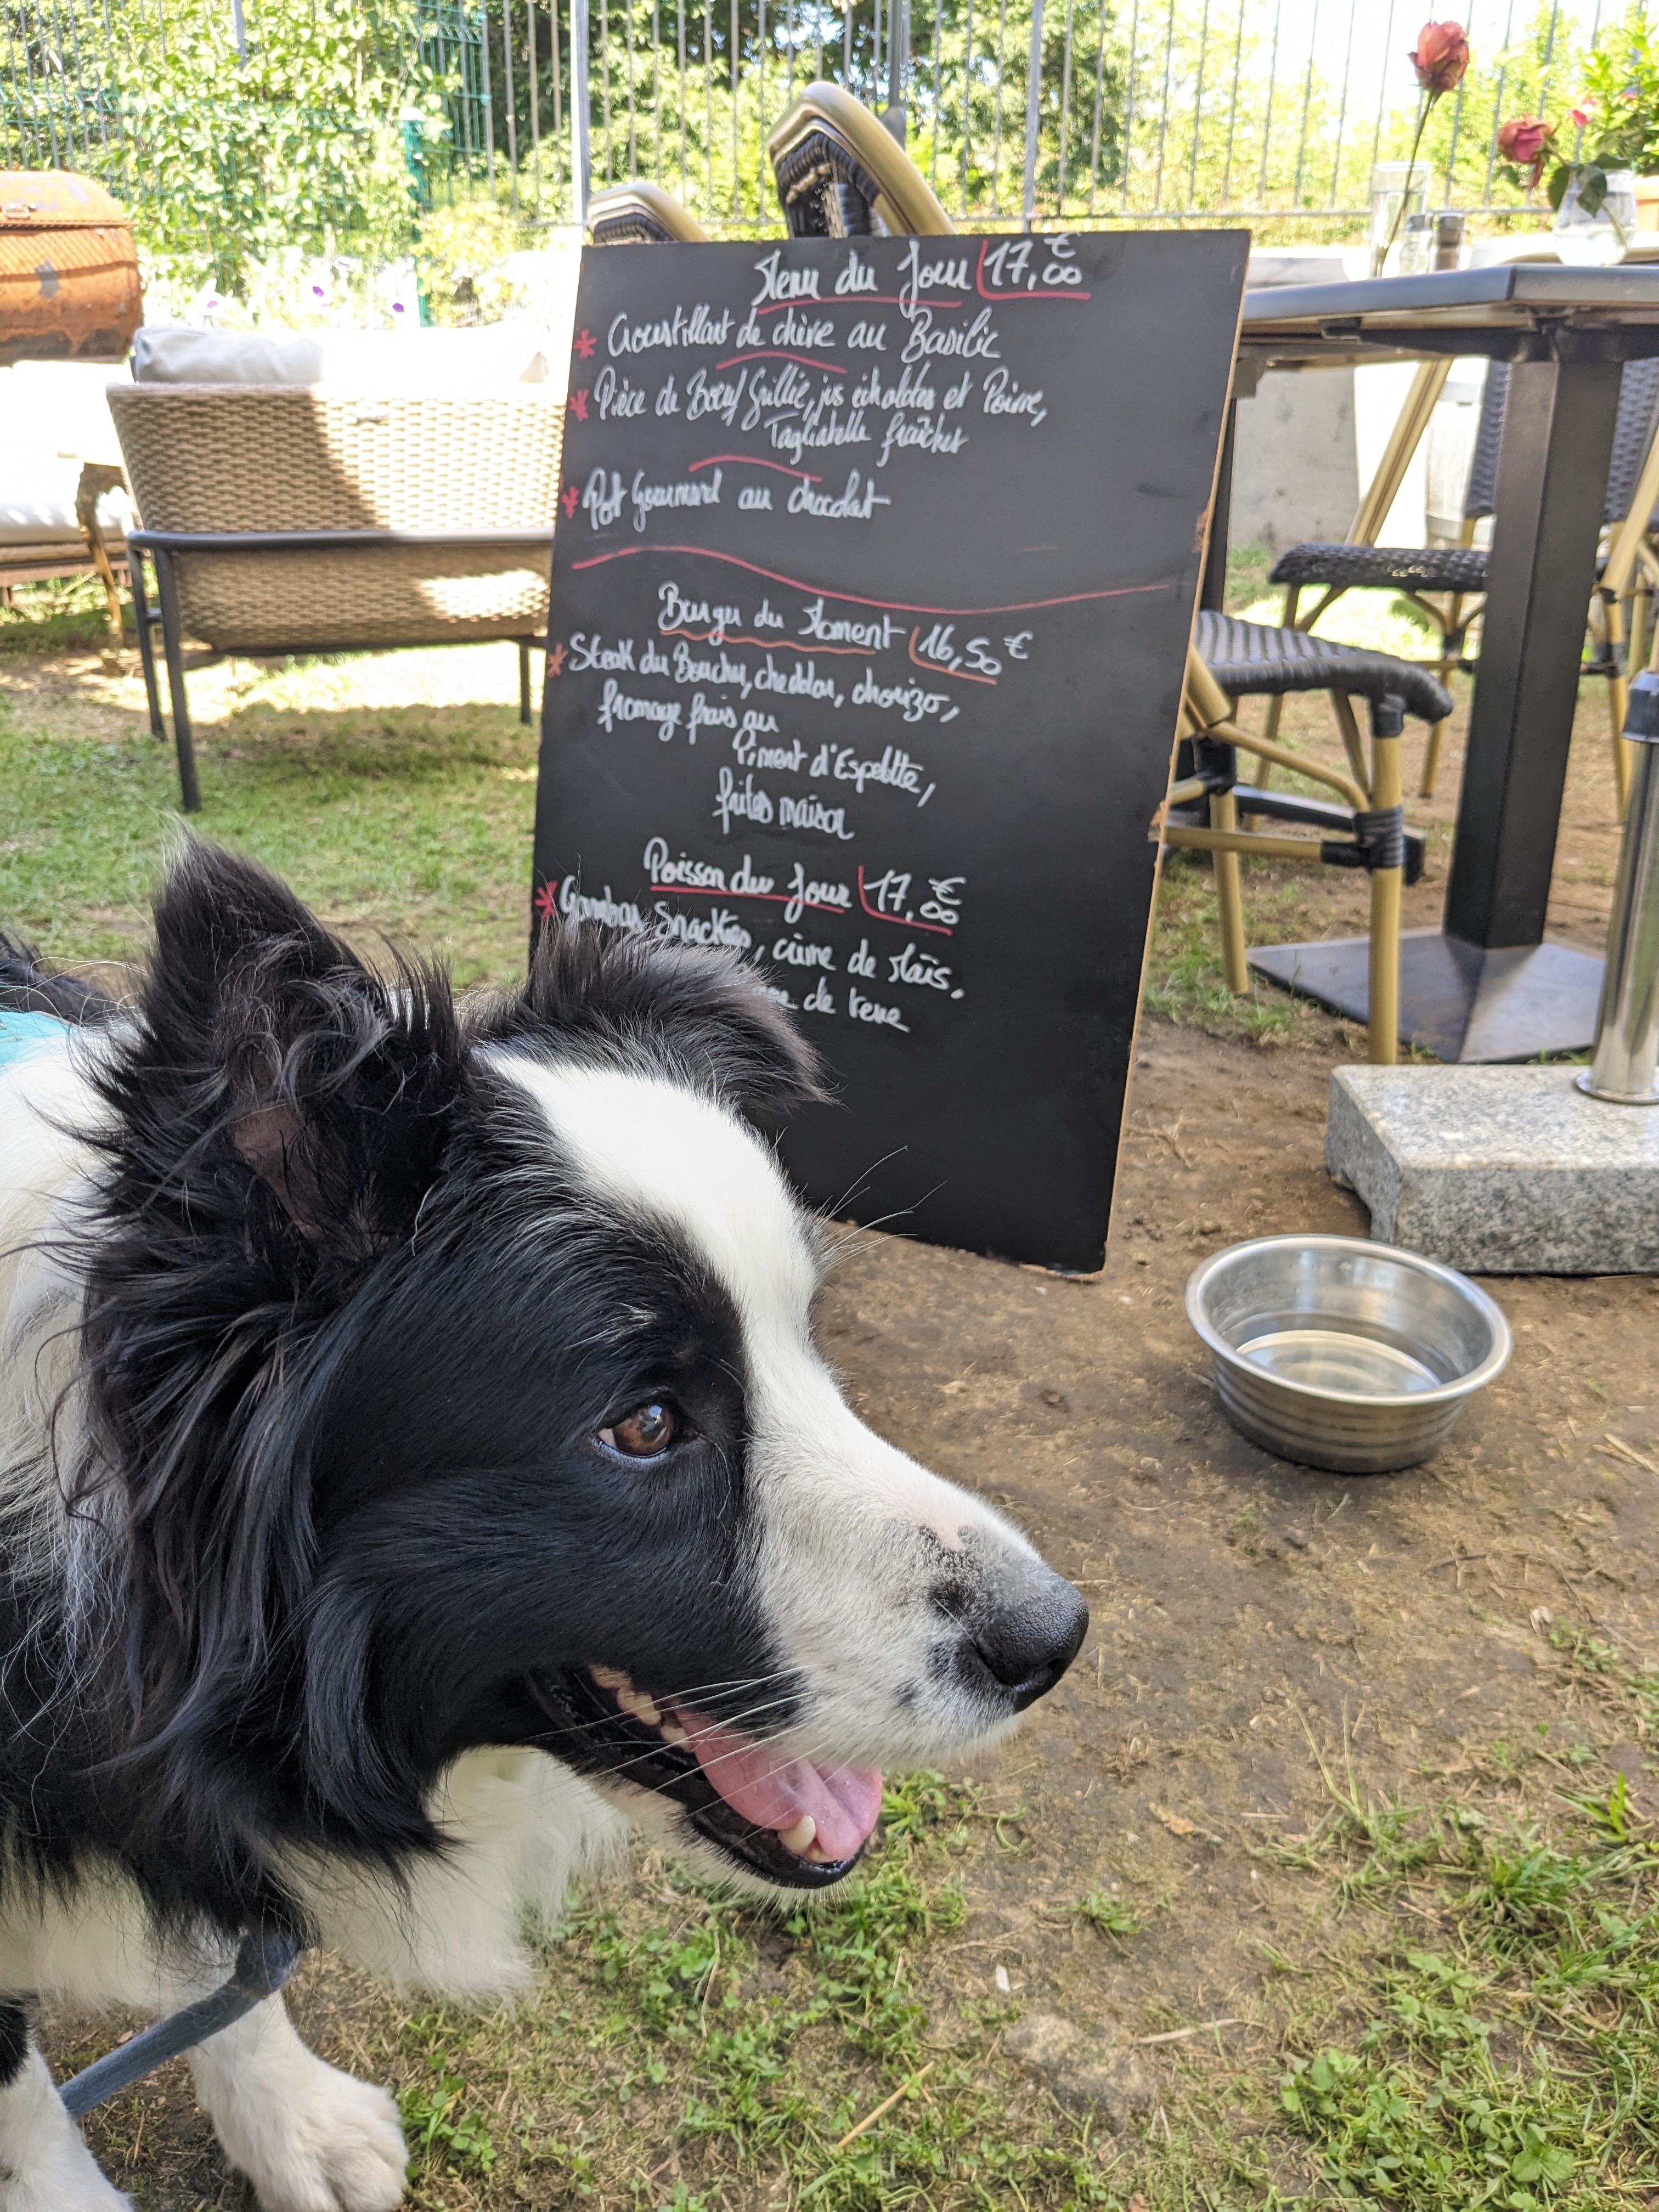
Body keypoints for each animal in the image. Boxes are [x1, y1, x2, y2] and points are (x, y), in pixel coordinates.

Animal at [0, 843, 1086, 2211]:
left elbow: (220, 1972)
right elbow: (30, 2115)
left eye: (807, 1344)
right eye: (646, 1424)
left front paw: (292, 2123)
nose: (1058, 1640)